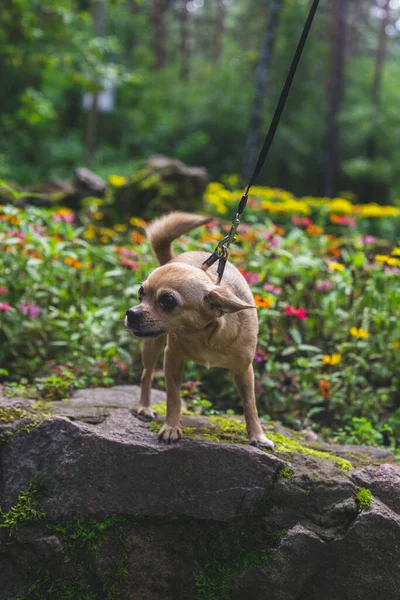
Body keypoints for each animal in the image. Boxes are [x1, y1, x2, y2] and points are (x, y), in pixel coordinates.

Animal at [126, 213, 274, 448]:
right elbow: (173, 397)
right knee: (146, 375)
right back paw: (144, 407)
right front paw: (171, 427)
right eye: (141, 294)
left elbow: (250, 404)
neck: (202, 334)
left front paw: (257, 436)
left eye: (167, 301)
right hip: (152, 346)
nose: (131, 312)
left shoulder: (244, 370)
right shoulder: (172, 358)